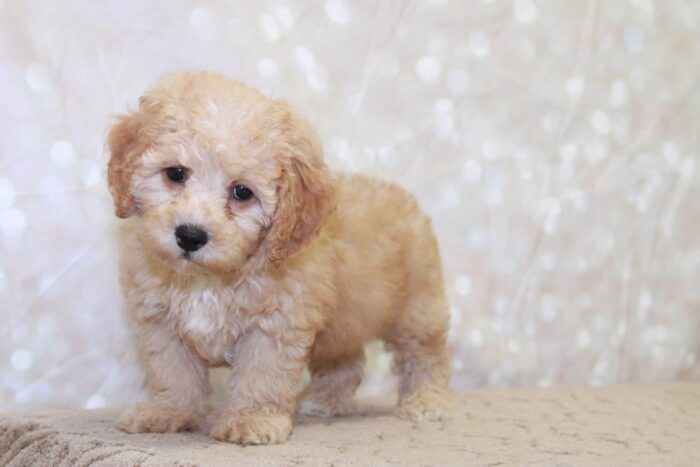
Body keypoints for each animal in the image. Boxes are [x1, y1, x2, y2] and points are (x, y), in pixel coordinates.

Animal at [107, 72, 452, 446]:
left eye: (242, 192)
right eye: (175, 173)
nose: (190, 235)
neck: (209, 279)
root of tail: (405, 199)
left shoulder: (274, 325)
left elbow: (261, 375)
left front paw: (252, 420)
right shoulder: (160, 323)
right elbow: (172, 372)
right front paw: (167, 412)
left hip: (417, 308)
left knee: (426, 353)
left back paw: (427, 401)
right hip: (345, 323)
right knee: (346, 359)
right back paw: (324, 401)